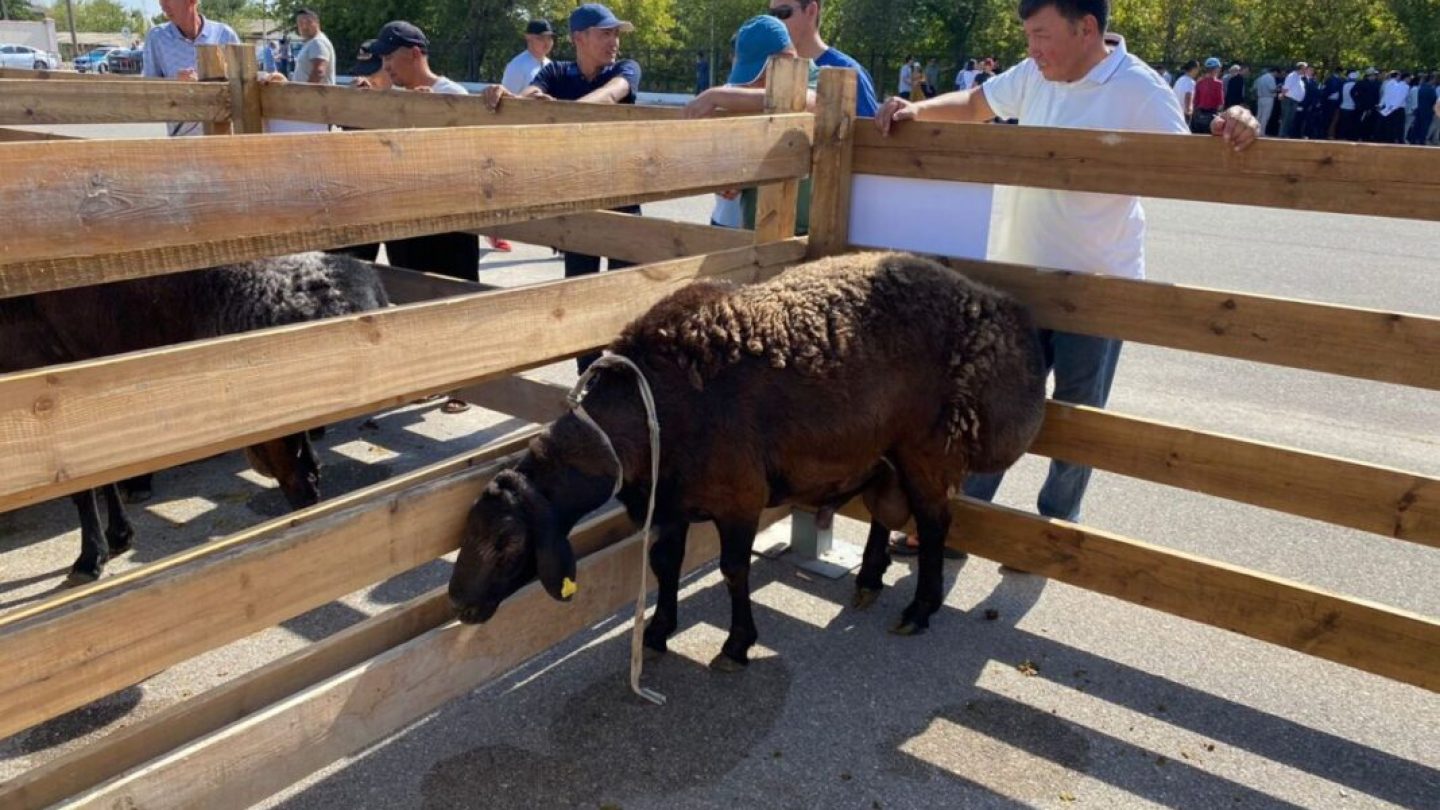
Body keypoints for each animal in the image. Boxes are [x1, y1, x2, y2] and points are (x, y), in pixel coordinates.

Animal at [0, 250, 391, 579]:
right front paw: (118, 535)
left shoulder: (43, 378)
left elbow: (82, 485)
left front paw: (91, 556)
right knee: (308, 469)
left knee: (299, 482)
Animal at [443, 252, 1042, 668]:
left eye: (507, 542)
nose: (460, 603)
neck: (650, 406)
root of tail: (1002, 306)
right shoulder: (671, 501)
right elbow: (664, 564)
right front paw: (657, 632)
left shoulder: (738, 498)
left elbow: (734, 570)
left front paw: (736, 644)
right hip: (886, 448)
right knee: (885, 510)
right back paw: (870, 579)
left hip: (928, 446)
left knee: (936, 523)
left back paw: (919, 610)